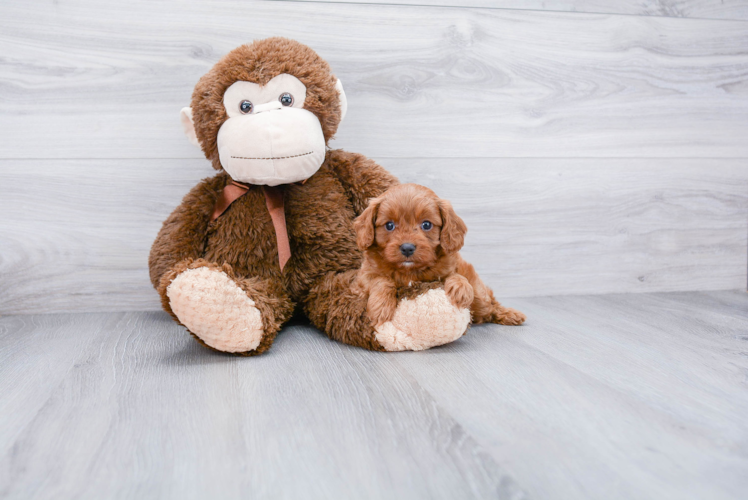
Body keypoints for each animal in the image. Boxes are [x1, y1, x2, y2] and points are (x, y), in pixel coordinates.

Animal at [352, 184, 524, 328]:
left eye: (426, 224)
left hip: (480, 298)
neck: (409, 271)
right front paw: (381, 307)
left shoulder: (450, 268)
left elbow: (455, 275)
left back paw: (510, 314)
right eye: (389, 225)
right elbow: (381, 280)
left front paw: (460, 288)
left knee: (490, 306)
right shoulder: (363, 278)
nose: (407, 248)